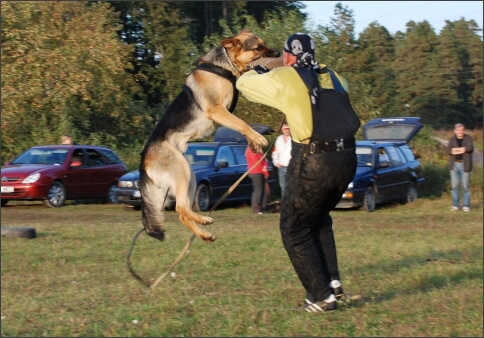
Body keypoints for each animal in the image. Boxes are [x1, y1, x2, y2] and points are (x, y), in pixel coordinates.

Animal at [138, 29, 278, 243]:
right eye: (258, 48)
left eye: (265, 44)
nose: (278, 53)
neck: (225, 65)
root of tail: (144, 160)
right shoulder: (217, 110)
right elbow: (241, 123)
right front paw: (259, 138)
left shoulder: (223, 112)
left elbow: (241, 126)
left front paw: (254, 143)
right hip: (182, 170)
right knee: (180, 207)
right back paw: (203, 220)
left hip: (190, 177)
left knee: (182, 213)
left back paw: (203, 232)